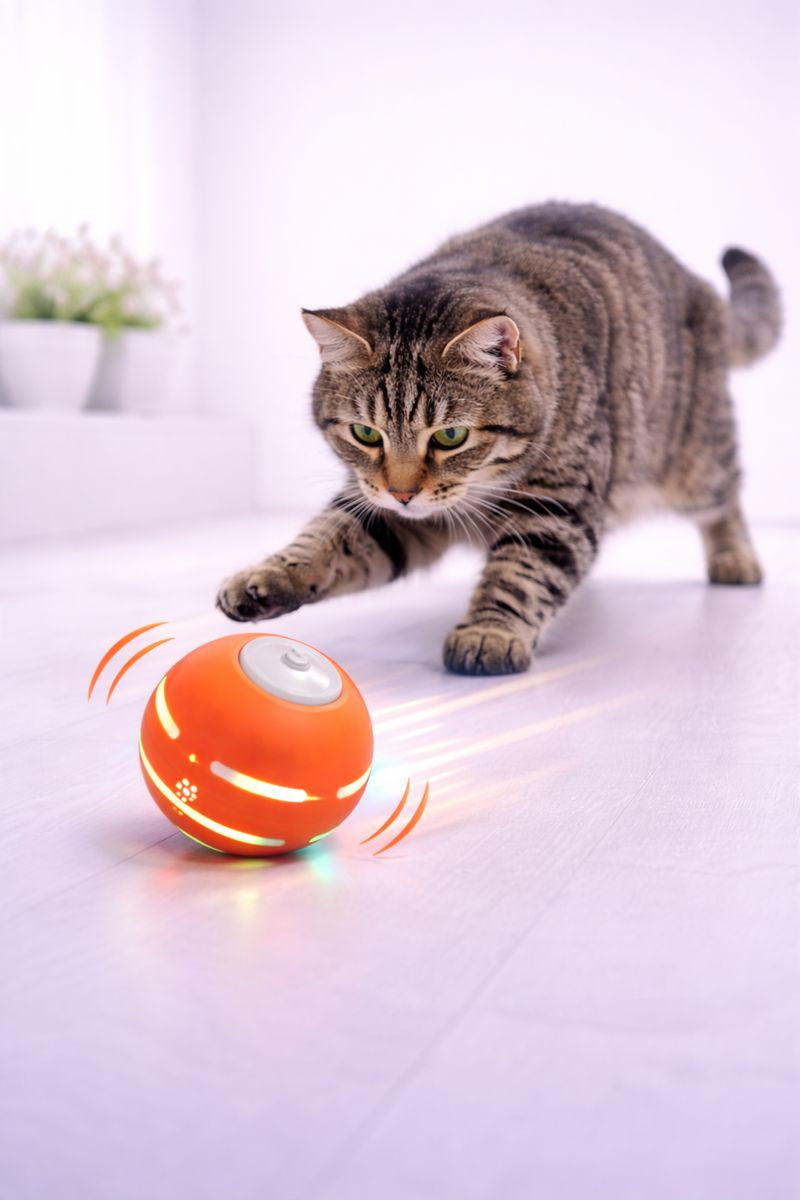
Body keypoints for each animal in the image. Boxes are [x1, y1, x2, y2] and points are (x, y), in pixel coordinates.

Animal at [217, 202, 781, 675]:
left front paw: (490, 631)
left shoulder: (556, 507)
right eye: (365, 432)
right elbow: (327, 539)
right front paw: (268, 577)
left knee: (725, 497)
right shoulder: (381, 506)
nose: (404, 492)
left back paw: (734, 557)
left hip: (695, 462)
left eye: (450, 435)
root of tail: (697, 284)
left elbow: (521, 572)